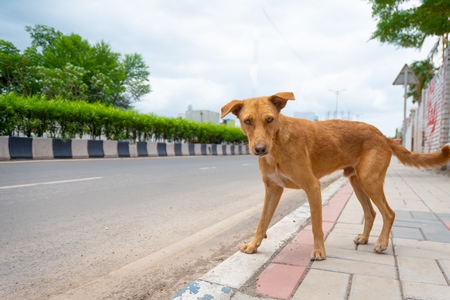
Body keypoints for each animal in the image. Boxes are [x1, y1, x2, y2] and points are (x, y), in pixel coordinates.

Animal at [221, 91, 450, 260]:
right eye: (247, 121)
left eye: (269, 119)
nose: (260, 149)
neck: (277, 145)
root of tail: (383, 135)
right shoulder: (272, 190)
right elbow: (262, 222)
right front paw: (253, 245)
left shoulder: (313, 187)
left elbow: (316, 225)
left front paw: (319, 251)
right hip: (356, 182)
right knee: (371, 213)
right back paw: (364, 238)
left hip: (369, 180)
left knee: (389, 213)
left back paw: (381, 243)